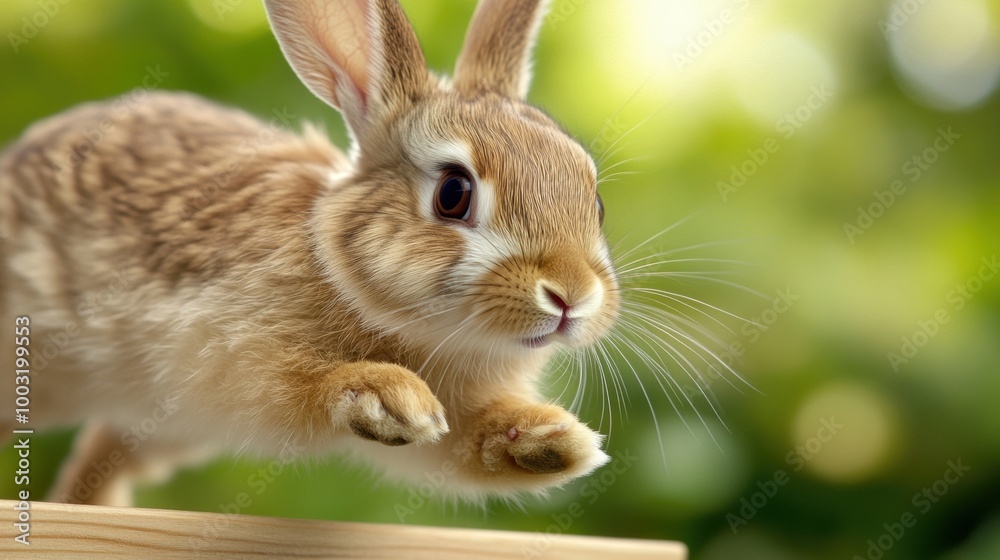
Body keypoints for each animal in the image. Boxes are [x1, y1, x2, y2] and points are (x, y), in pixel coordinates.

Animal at [0, 0, 619, 507]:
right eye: (453, 194)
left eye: (595, 201)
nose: (572, 296)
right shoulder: (228, 352)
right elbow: (301, 388)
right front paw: (390, 398)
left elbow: (462, 445)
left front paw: (557, 441)